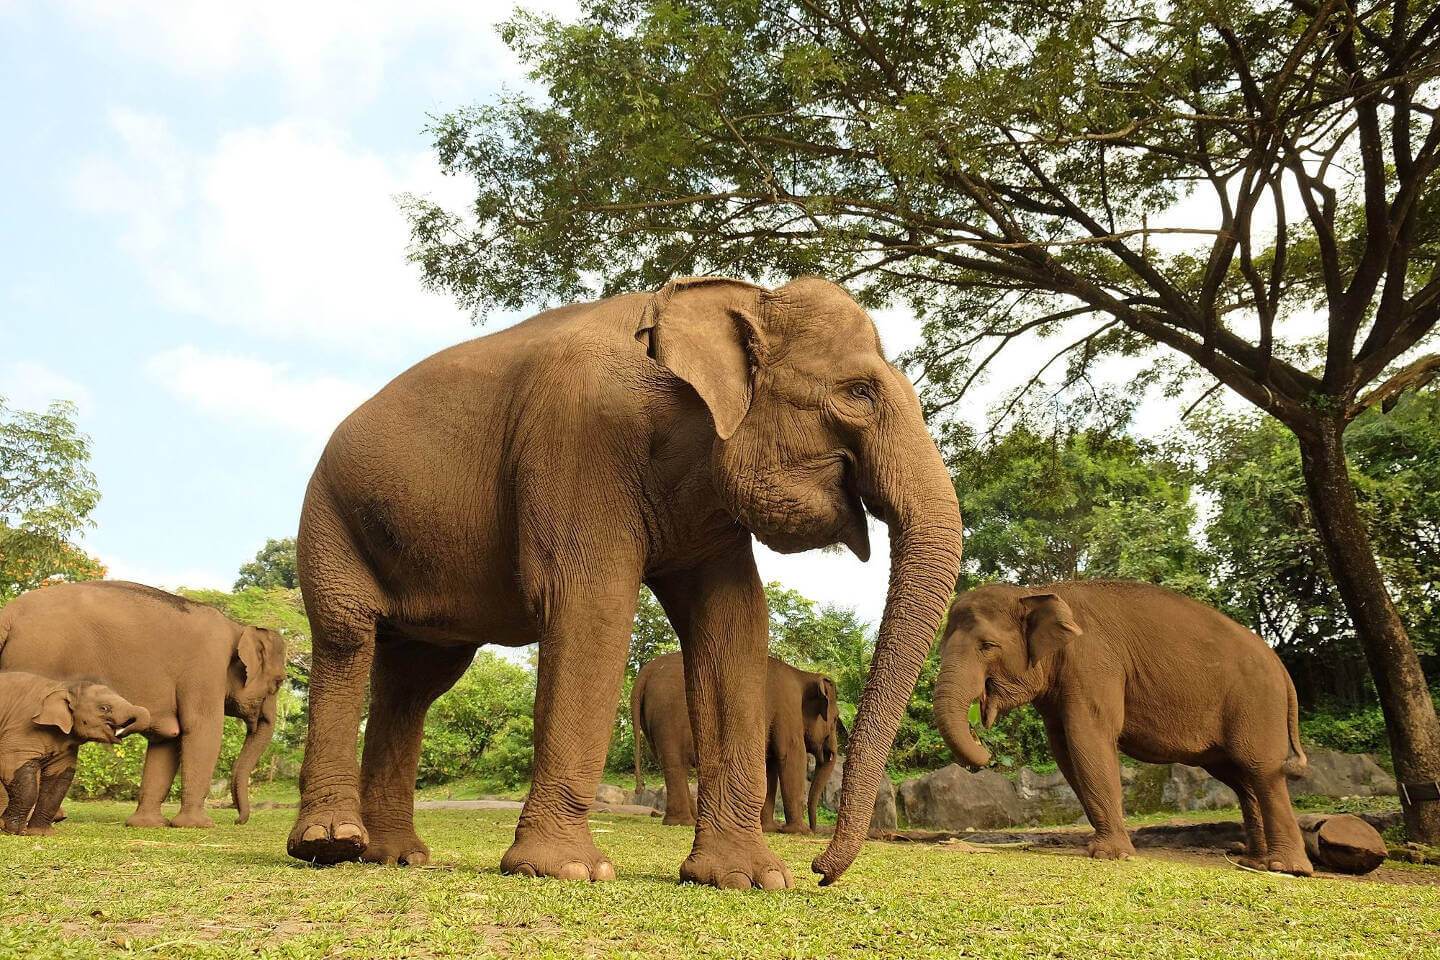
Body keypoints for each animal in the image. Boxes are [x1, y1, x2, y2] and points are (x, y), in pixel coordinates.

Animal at [0, 671, 150, 835]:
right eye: (104, 708)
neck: (61, 686)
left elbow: (58, 783)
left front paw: (42, 833)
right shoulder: (20, 732)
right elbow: (15, 770)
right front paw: (12, 830)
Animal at [632, 651, 845, 833]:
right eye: (835, 719)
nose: (814, 829)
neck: (803, 675)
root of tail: (645, 673)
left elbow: (770, 765)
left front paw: (768, 828)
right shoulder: (787, 709)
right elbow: (791, 757)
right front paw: (798, 831)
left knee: (673, 766)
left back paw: (689, 820)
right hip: (667, 716)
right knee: (675, 764)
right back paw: (682, 822)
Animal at [934, 580, 1314, 875]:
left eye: (987, 646)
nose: (984, 749)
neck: (1034, 592)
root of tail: (1281, 668)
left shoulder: (1094, 664)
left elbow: (1088, 737)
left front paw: (1110, 855)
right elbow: (1064, 751)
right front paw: (1109, 849)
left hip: (1257, 702)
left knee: (1260, 768)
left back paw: (1286, 868)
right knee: (1240, 777)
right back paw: (1255, 861)